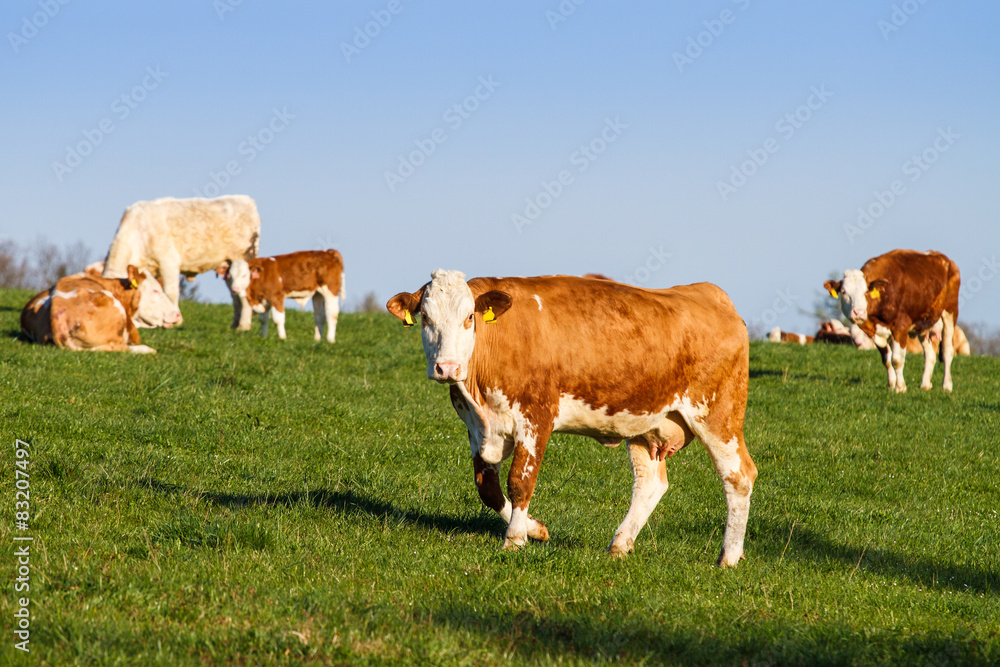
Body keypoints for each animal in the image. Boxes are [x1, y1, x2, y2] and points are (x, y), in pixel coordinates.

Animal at [102, 194, 262, 328]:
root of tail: (245, 199)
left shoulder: (169, 262)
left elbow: (170, 292)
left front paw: (177, 320)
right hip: (228, 268)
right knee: (235, 295)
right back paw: (234, 326)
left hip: (243, 258)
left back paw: (243, 326)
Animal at [390, 272, 756, 568]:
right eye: (425, 317)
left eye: (469, 317)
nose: (447, 367)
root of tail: (708, 293)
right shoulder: (475, 427)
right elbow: (488, 489)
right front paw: (535, 530)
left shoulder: (535, 417)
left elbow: (520, 481)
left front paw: (514, 539)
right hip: (646, 422)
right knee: (650, 482)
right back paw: (619, 545)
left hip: (717, 415)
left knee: (739, 475)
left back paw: (729, 557)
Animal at [820, 253, 960, 394]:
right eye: (844, 292)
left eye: (866, 292)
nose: (858, 312)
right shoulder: (875, 333)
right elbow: (887, 360)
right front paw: (891, 385)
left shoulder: (900, 328)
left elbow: (897, 360)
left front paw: (900, 387)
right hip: (922, 324)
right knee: (930, 354)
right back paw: (925, 384)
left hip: (950, 312)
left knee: (947, 352)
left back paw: (947, 386)